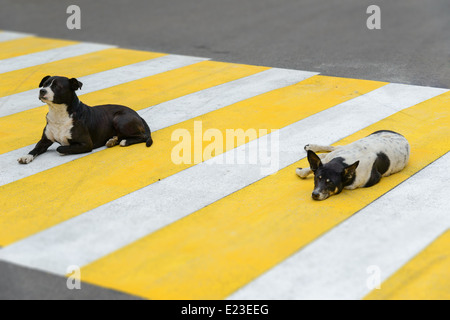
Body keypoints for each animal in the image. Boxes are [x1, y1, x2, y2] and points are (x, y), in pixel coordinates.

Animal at [17, 75, 153, 164]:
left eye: (57, 86)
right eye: (45, 84)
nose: (42, 90)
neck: (58, 113)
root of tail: (137, 114)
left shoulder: (86, 144)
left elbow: (59, 148)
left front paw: (65, 150)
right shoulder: (45, 140)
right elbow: (35, 148)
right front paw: (26, 156)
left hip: (120, 119)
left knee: (143, 136)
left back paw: (124, 141)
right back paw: (112, 140)